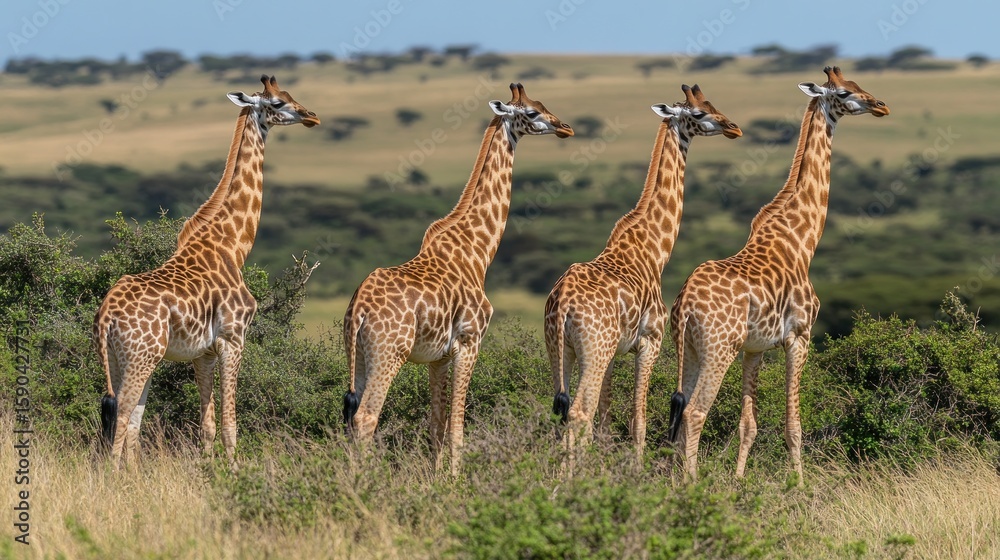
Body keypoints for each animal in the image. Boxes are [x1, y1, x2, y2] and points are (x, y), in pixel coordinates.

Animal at [95, 75, 319, 468]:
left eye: (291, 95)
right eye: (277, 103)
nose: (311, 116)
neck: (233, 245)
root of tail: (106, 314)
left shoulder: (203, 352)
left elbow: (207, 426)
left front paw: (209, 471)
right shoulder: (234, 338)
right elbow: (230, 424)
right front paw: (234, 473)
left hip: (124, 359)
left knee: (132, 418)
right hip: (140, 358)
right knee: (121, 415)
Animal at [342, 83, 573, 475]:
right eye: (531, 112)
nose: (565, 128)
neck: (477, 251)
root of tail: (358, 308)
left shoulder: (437, 357)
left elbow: (437, 422)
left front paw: (436, 479)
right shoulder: (469, 341)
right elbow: (457, 422)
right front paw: (455, 479)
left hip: (355, 353)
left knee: (350, 415)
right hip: (389, 354)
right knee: (366, 418)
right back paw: (365, 482)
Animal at [545, 84, 742, 458]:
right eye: (699, 113)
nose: (733, 127)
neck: (653, 249)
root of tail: (562, 303)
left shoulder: (613, 352)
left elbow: (605, 422)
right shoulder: (650, 340)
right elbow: (639, 418)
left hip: (562, 350)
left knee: (564, 412)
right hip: (592, 350)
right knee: (578, 413)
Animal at [667, 66, 889, 482]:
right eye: (842, 92)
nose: (881, 105)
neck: (802, 240)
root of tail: (685, 303)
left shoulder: (754, 348)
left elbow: (747, 424)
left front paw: (739, 482)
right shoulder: (799, 336)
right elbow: (793, 424)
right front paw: (798, 485)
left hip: (688, 349)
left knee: (679, 411)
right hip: (718, 350)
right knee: (695, 412)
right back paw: (692, 486)